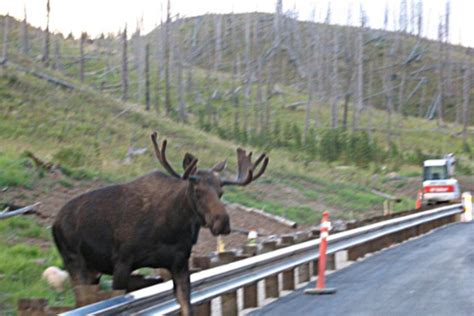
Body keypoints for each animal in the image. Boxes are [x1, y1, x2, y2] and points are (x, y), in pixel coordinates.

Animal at [52, 132, 268, 314]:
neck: (172, 227)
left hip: (92, 271)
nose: (222, 222)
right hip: (75, 264)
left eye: (221, 192)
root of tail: (54, 223)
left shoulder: (179, 263)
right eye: (197, 191)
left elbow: (186, 306)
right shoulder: (122, 263)